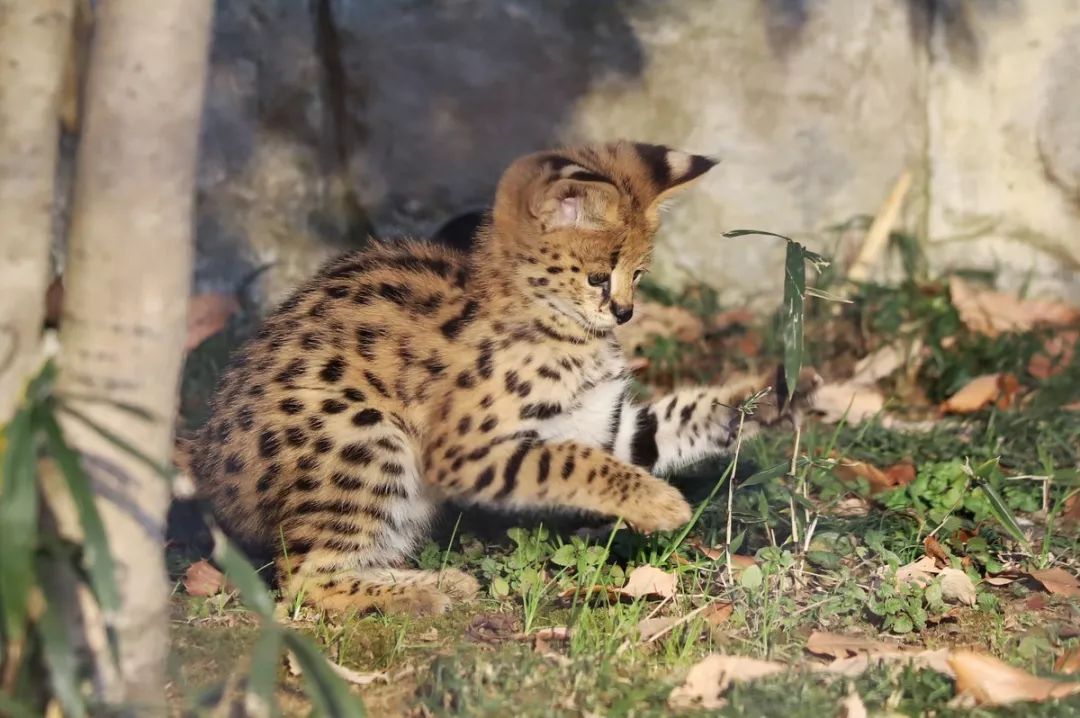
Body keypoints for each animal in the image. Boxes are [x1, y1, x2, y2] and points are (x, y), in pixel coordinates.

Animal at [194, 141, 812, 617]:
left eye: (638, 274)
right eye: (597, 277)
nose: (625, 313)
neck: (564, 328)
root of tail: (208, 469)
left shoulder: (601, 425)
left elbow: (665, 427)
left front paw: (764, 400)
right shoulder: (463, 448)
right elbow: (570, 462)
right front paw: (660, 505)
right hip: (360, 432)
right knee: (301, 580)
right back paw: (431, 589)